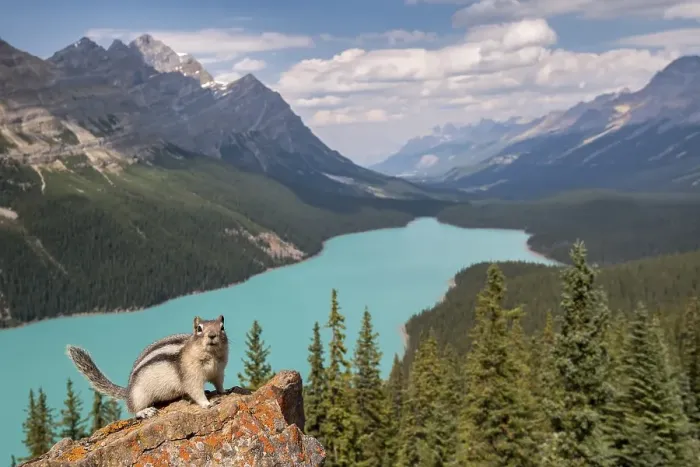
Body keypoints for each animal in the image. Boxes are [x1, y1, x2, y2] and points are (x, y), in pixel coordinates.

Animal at [66, 315, 229, 420]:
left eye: (222, 327)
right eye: (199, 329)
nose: (212, 335)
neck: (212, 357)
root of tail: (128, 392)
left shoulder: (219, 371)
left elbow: (219, 383)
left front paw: (224, 391)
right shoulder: (191, 375)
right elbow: (195, 391)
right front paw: (208, 403)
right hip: (140, 395)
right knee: (133, 410)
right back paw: (145, 412)